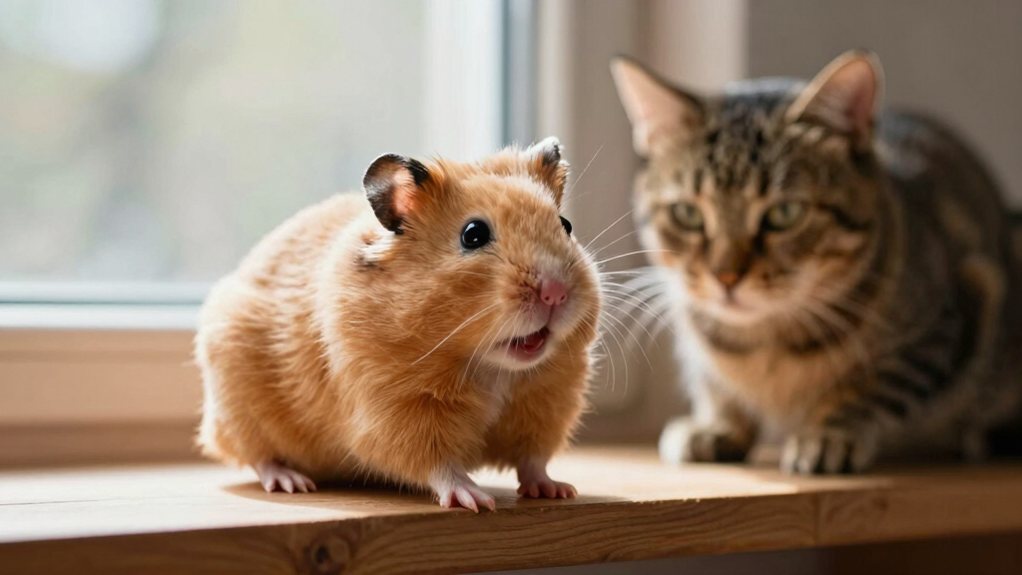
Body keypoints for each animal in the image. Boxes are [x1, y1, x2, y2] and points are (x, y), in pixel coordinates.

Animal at [195, 138, 601, 511]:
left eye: (565, 225)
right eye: (473, 234)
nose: (555, 294)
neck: (488, 365)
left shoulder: (546, 403)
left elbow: (533, 460)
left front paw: (558, 491)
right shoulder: (396, 410)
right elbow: (437, 463)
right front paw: (475, 500)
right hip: (237, 401)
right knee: (257, 456)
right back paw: (292, 482)